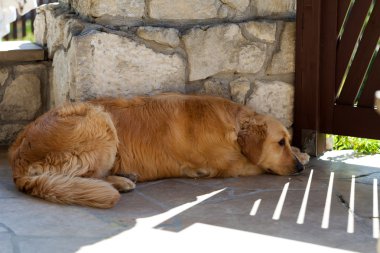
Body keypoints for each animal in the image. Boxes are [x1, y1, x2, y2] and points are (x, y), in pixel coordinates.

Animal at [7, 94, 304, 209]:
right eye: (279, 142)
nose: (300, 169)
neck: (231, 124)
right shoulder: (226, 164)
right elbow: (255, 164)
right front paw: (302, 156)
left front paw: (301, 152)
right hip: (99, 121)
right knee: (82, 176)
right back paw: (121, 182)